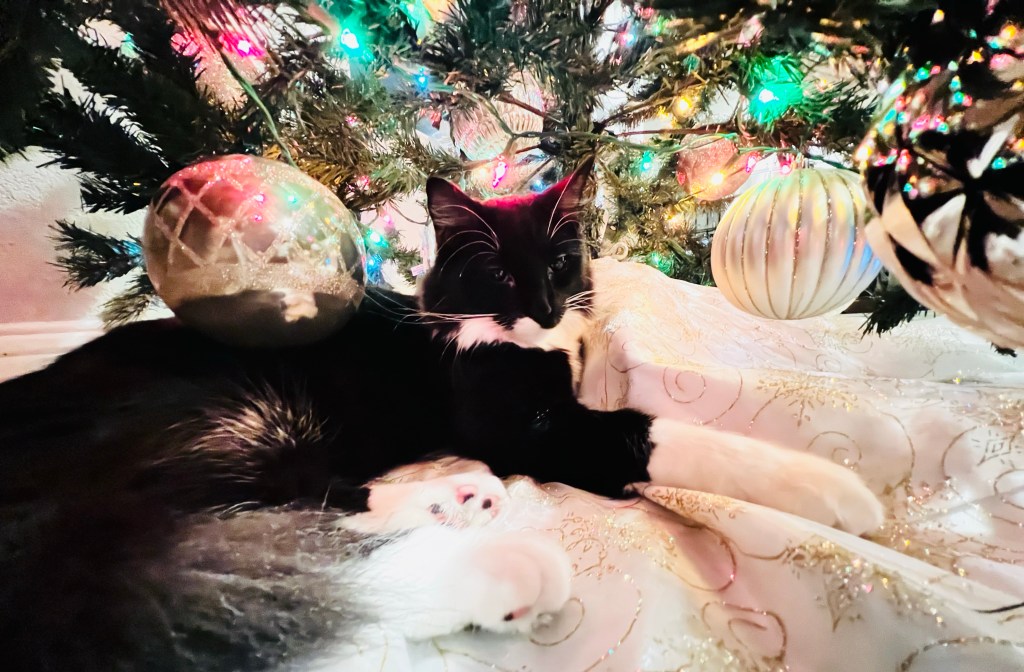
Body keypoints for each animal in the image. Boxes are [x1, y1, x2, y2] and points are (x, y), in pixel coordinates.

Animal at [0, 157, 884, 671]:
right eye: (499, 275)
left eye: (560, 262)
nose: (546, 307)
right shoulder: (531, 428)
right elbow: (657, 429)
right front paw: (838, 490)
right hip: (234, 417)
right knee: (240, 540)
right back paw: (487, 550)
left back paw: (461, 505)